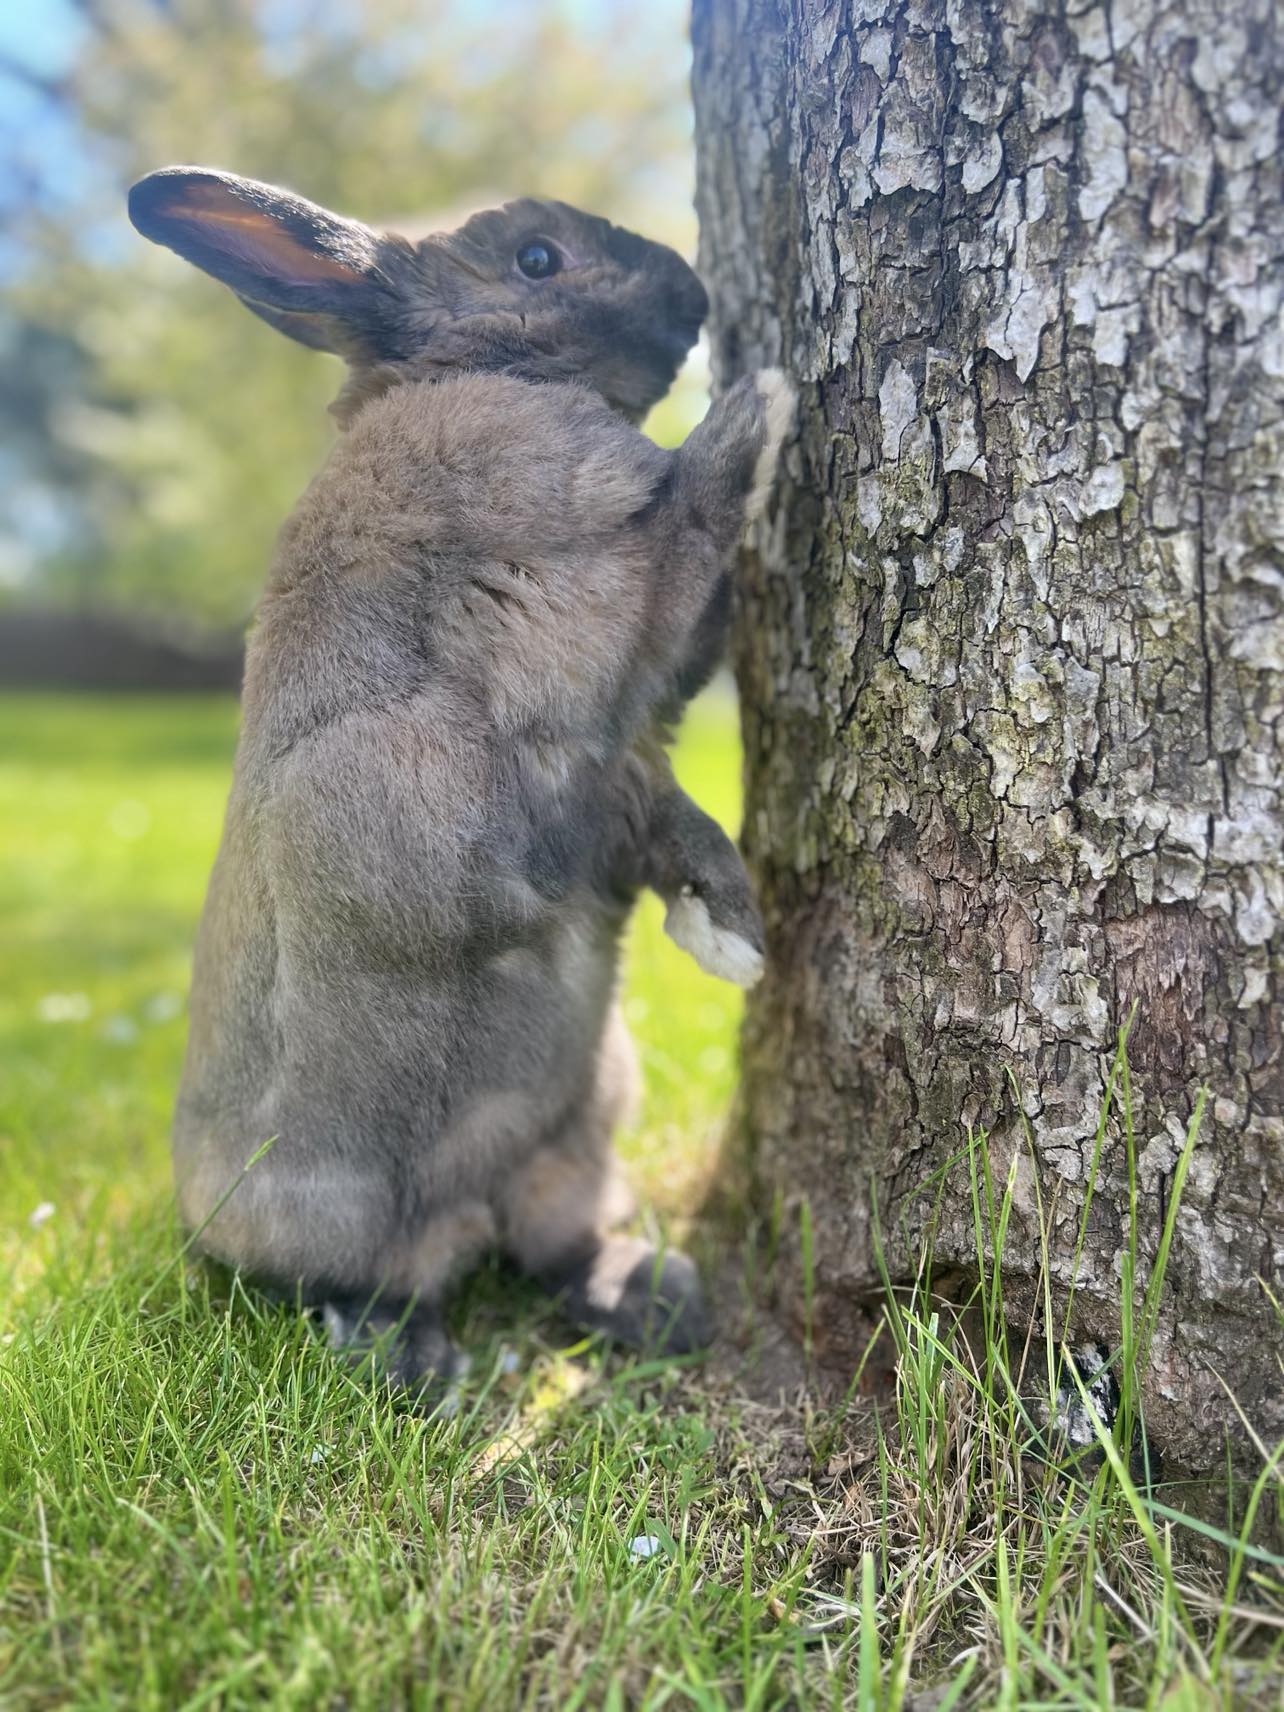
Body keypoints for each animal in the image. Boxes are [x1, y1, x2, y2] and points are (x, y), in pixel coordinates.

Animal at [128, 167, 793, 1382]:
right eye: (536, 257)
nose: (695, 292)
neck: (481, 370)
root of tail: (474, 1204)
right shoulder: (608, 629)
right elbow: (694, 512)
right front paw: (762, 399)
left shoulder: (626, 753)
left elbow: (681, 827)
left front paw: (734, 944)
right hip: (350, 1206)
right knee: (379, 1279)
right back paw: (409, 1363)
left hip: (580, 1133)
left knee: (557, 1247)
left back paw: (653, 1298)